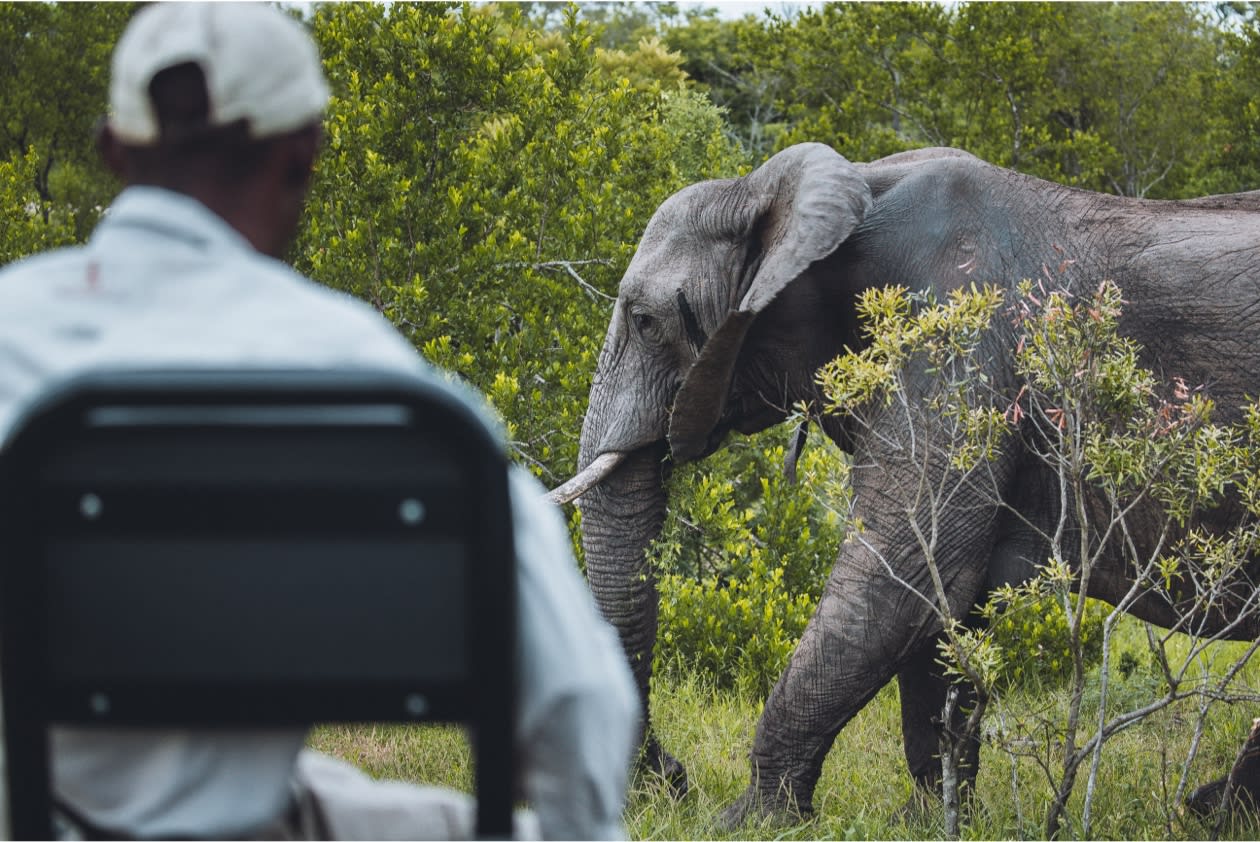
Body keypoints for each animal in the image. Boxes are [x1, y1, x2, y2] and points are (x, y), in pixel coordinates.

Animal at [554, 143, 1260, 821]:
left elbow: (904, 580)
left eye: (645, 321)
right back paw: (1212, 811)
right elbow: (945, 606)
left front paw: (748, 821)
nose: (673, 781)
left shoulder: (954, 348)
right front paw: (928, 821)